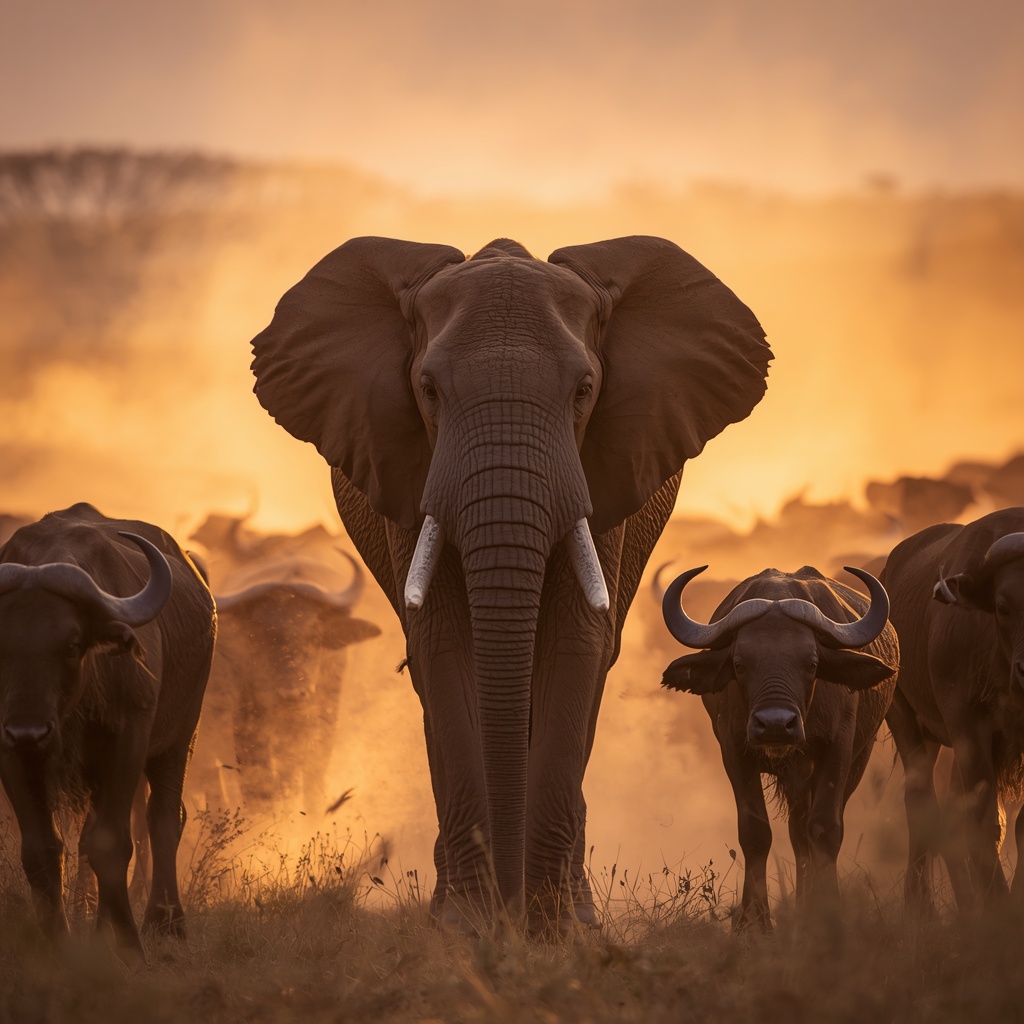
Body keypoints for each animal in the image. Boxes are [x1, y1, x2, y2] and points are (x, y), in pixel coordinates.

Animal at [0, 503, 215, 951]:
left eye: (71, 645)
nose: (29, 732)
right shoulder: (9, 750)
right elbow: (41, 849)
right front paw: (57, 942)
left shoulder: (128, 737)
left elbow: (112, 842)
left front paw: (127, 943)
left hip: (180, 735)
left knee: (164, 818)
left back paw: (165, 923)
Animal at [250, 234, 772, 932]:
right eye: (428, 390)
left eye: (584, 390)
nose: (510, 915)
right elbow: (443, 647)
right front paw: (466, 928)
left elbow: (576, 644)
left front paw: (556, 933)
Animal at [661, 565, 898, 930]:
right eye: (740, 664)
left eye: (812, 664)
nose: (775, 724)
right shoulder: (734, 752)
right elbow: (755, 832)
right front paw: (752, 923)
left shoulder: (839, 750)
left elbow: (826, 829)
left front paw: (827, 914)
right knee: (798, 835)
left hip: (858, 758)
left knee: (810, 831)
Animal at [883, 506, 1024, 912]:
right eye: (1003, 606)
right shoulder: (967, 725)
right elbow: (984, 821)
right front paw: (998, 904)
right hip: (907, 722)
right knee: (920, 804)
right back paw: (921, 906)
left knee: (949, 814)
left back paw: (965, 907)